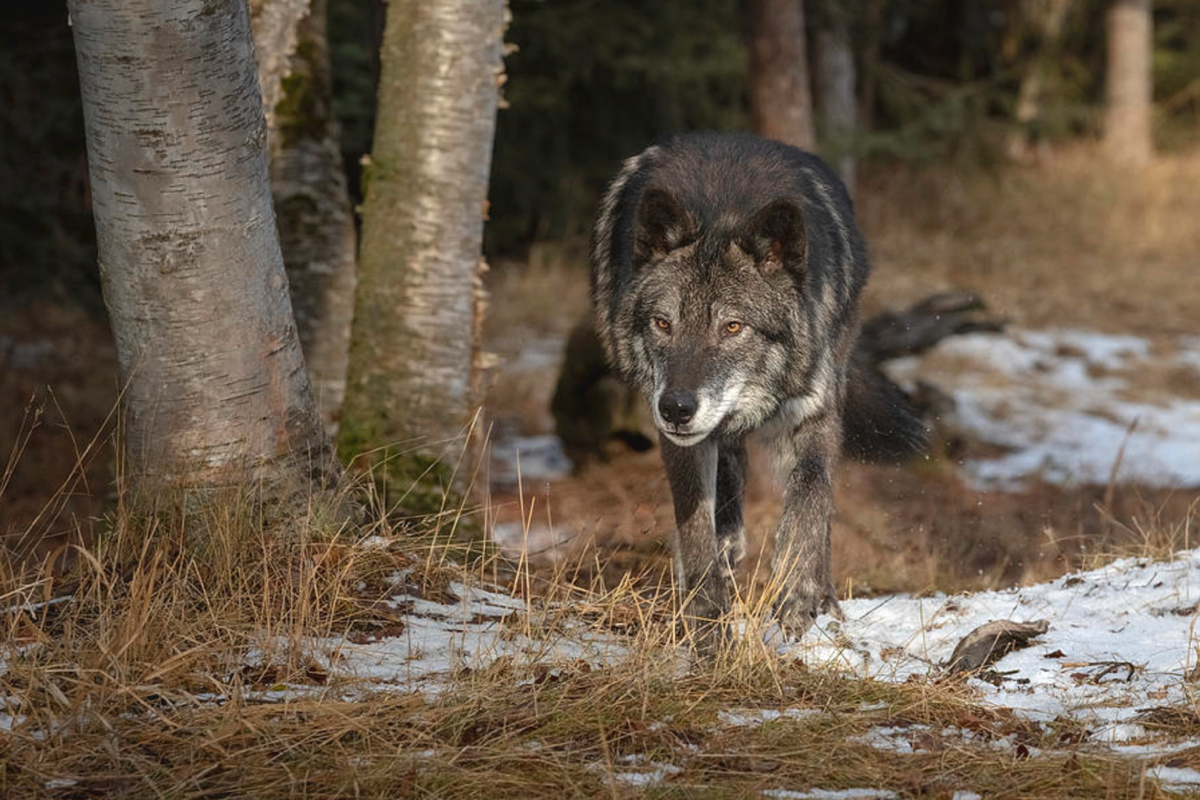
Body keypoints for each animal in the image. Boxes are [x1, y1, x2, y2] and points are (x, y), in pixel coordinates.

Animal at [590, 133, 926, 642]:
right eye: (663, 323)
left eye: (732, 327)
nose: (676, 408)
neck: (723, 212)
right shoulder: (678, 440)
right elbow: (695, 529)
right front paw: (707, 625)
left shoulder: (814, 413)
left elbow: (810, 498)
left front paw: (797, 593)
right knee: (730, 477)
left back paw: (824, 598)